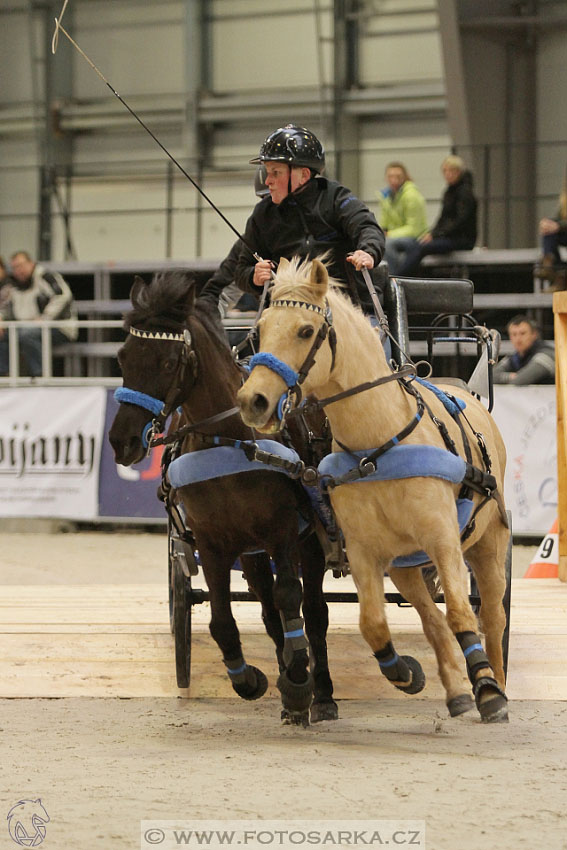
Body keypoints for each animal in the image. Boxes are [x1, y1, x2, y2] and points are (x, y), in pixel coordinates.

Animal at [108, 272, 338, 724]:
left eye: (167, 362)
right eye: (123, 358)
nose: (121, 441)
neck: (229, 439)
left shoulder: (283, 533)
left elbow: (292, 599)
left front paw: (299, 683)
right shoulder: (213, 542)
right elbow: (221, 620)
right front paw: (250, 679)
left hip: (309, 542)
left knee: (313, 611)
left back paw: (319, 692)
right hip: (251, 552)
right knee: (268, 609)